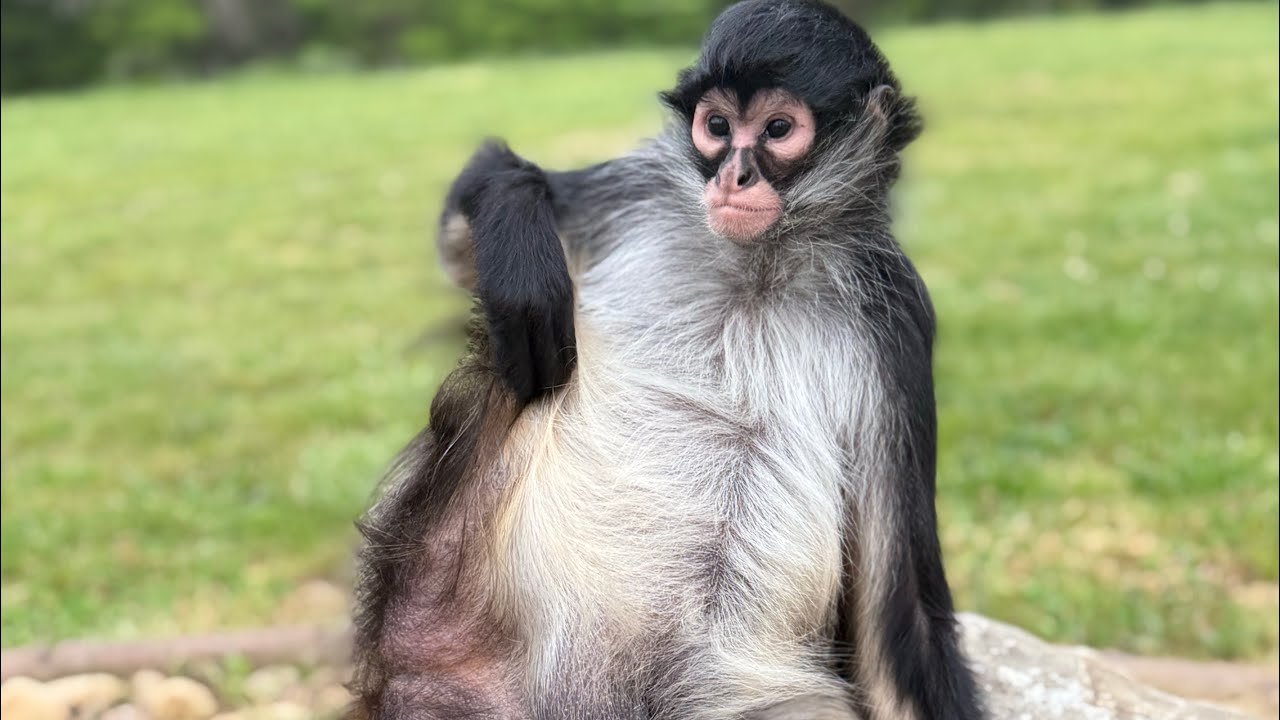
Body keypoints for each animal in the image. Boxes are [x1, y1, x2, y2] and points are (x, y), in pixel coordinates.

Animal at [348, 1, 984, 719]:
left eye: (778, 130)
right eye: (717, 127)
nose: (734, 176)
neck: (753, 272)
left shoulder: (898, 316)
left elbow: (903, 627)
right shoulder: (642, 189)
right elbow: (466, 238)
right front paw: (518, 242)